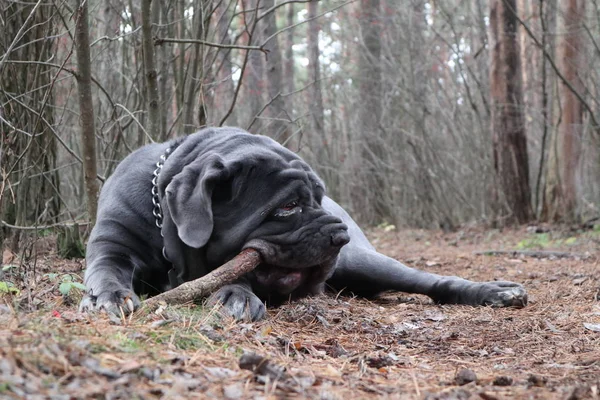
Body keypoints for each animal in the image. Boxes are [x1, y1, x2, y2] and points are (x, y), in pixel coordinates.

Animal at [81, 126, 524, 320]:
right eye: (289, 206)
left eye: (319, 197)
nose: (339, 233)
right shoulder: (113, 241)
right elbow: (106, 268)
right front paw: (109, 297)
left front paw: (233, 295)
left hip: (368, 263)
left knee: (430, 281)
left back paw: (497, 291)